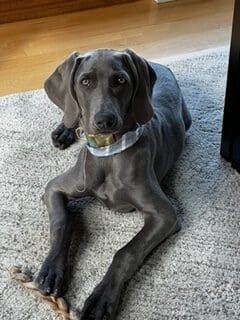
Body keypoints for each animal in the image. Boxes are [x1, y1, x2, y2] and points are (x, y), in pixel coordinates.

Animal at [36, 48, 191, 320]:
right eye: (85, 81)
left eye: (120, 80)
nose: (104, 121)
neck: (108, 153)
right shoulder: (54, 187)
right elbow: (61, 222)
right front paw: (51, 270)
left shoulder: (165, 214)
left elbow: (126, 252)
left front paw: (101, 298)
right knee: (71, 112)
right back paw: (64, 131)